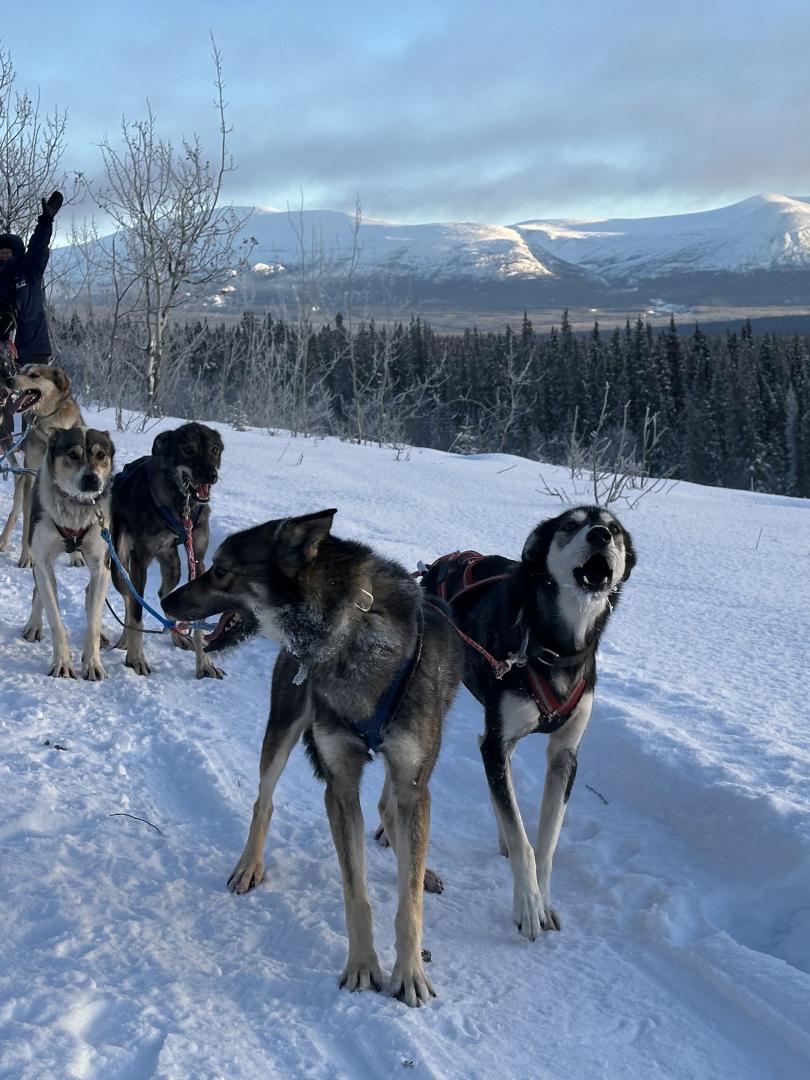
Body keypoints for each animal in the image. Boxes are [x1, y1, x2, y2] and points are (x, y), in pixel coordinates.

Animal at [0, 365, 83, 570]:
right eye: (22, 370)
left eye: (34, 375)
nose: (9, 380)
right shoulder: (31, 479)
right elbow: (27, 525)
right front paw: (27, 556)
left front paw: (76, 555)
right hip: (23, 484)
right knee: (15, 513)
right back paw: (3, 540)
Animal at [22, 425, 115, 678]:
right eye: (73, 454)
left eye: (101, 454)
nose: (92, 478)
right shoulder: (43, 562)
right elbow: (55, 618)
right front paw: (62, 662)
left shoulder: (101, 566)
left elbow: (93, 621)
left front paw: (93, 662)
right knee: (38, 593)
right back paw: (34, 625)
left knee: (90, 595)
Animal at [110, 419, 225, 678]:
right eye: (188, 449)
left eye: (214, 450)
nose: (211, 475)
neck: (181, 504)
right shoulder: (140, 561)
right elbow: (137, 612)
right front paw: (136, 657)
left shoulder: (198, 560)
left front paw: (204, 663)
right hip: (120, 566)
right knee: (129, 599)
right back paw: (125, 640)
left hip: (173, 566)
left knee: (164, 596)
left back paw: (178, 635)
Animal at [159, 509, 462, 1006]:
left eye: (221, 570)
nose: (165, 600)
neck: (352, 634)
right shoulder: (340, 785)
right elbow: (356, 892)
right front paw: (362, 966)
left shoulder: (413, 781)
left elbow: (409, 899)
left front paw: (409, 972)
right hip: (282, 729)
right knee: (263, 800)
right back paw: (249, 865)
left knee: (390, 813)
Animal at [408, 503, 639, 937]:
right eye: (569, 526)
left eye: (615, 530)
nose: (599, 535)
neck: (556, 647)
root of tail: (440, 563)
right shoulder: (497, 740)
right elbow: (523, 841)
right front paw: (528, 904)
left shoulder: (564, 755)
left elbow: (545, 842)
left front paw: (543, 899)